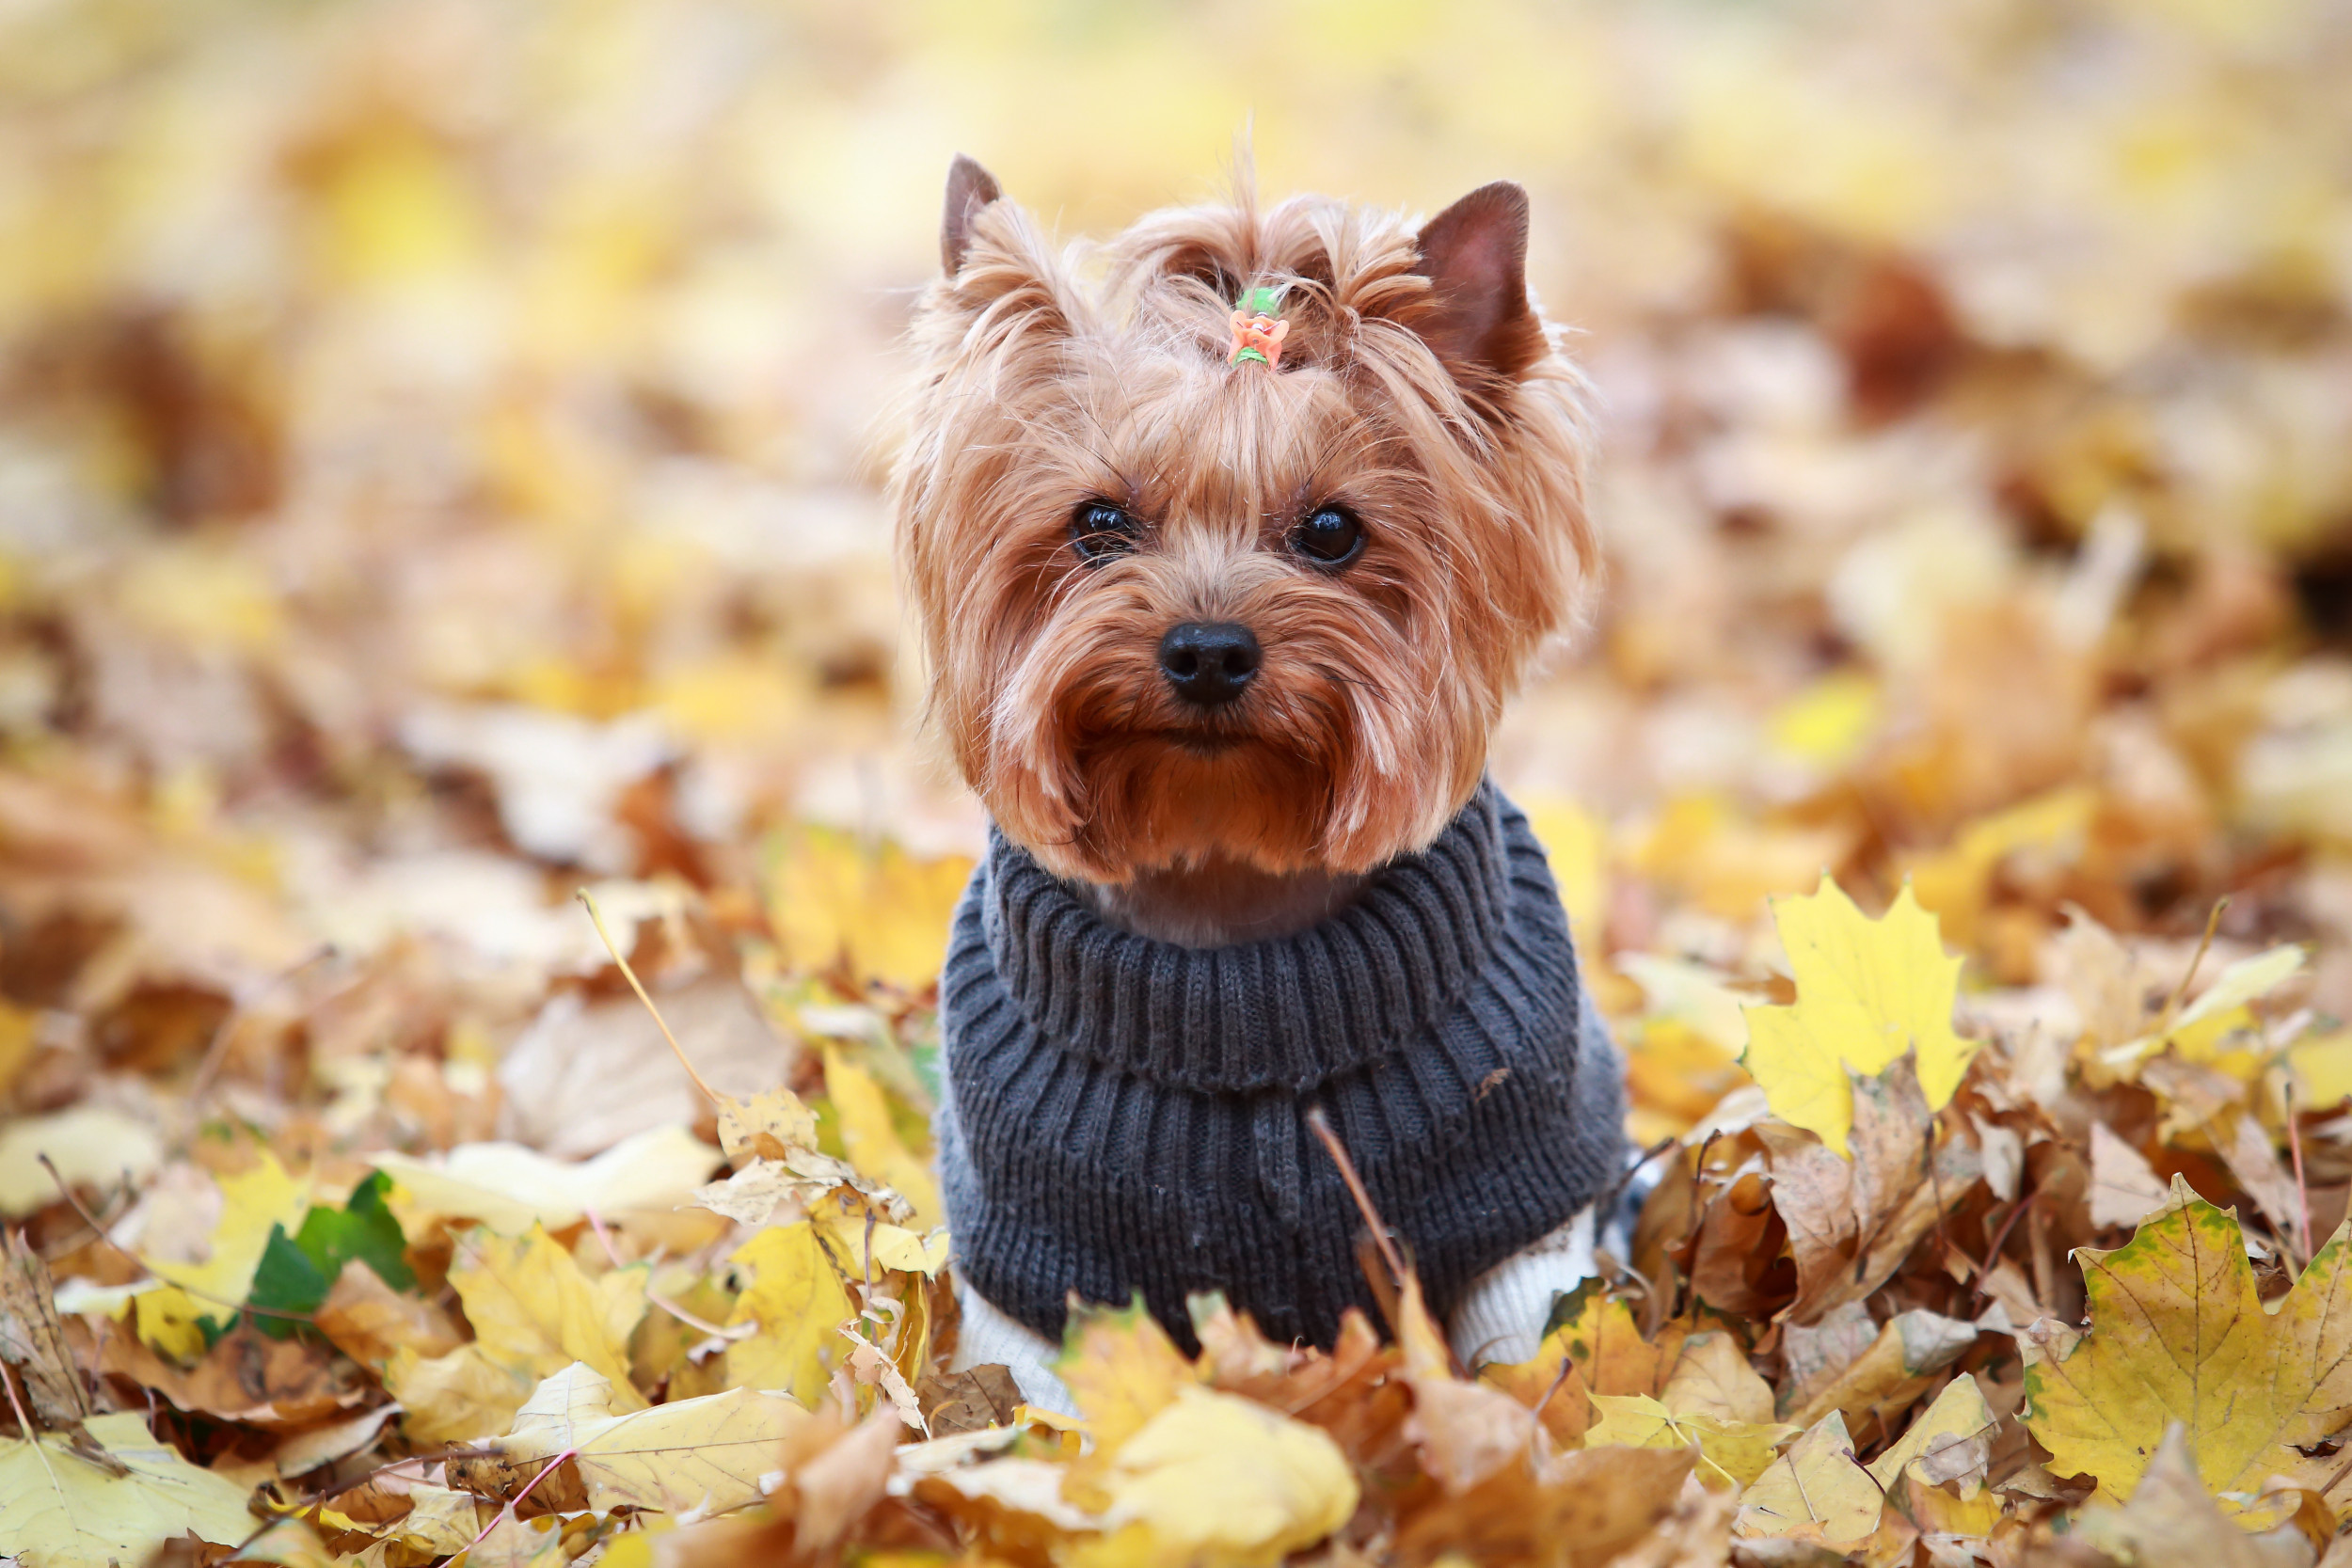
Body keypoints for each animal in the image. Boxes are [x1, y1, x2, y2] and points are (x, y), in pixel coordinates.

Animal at [889, 162, 1628, 1410]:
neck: (1229, 891)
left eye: (1331, 529)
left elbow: (1535, 1363)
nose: (1207, 649)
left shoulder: (1520, 1220)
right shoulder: (1037, 1270)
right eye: (1097, 523)